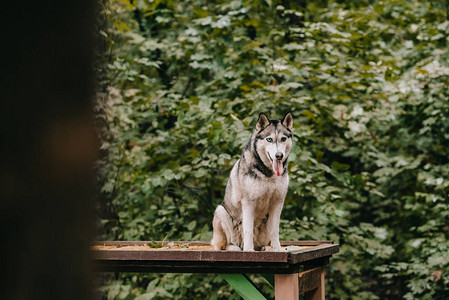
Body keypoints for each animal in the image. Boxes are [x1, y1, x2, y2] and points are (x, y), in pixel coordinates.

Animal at [211, 112, 292, 251]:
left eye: (283, 139)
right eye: (269, 139)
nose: (279, 155)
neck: (268, 174)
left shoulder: (278, 202)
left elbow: (275, 230)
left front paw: (277, 249)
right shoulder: (249, 202)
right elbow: (248, 229)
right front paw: (248, 250)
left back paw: (266, 248)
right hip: (220, 211)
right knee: (226, 244)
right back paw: (236, 248)